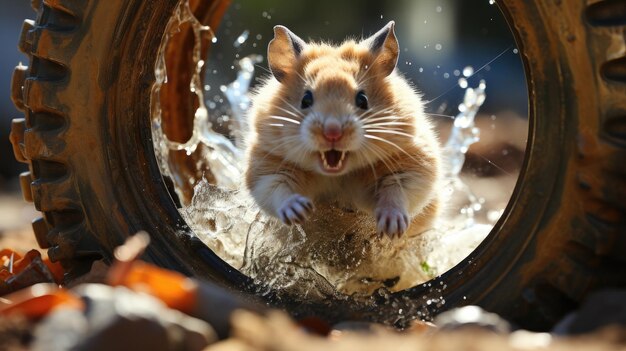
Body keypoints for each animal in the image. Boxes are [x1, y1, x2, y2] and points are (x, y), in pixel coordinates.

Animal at [241, 22, 442, 239]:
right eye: (305, 99)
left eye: (362, 99)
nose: (332, 132)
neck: (336, 174)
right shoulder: (266, 169)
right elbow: (279, 190)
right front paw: (299, 212)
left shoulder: (414, 166)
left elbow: (395, 191)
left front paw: (392, 229)